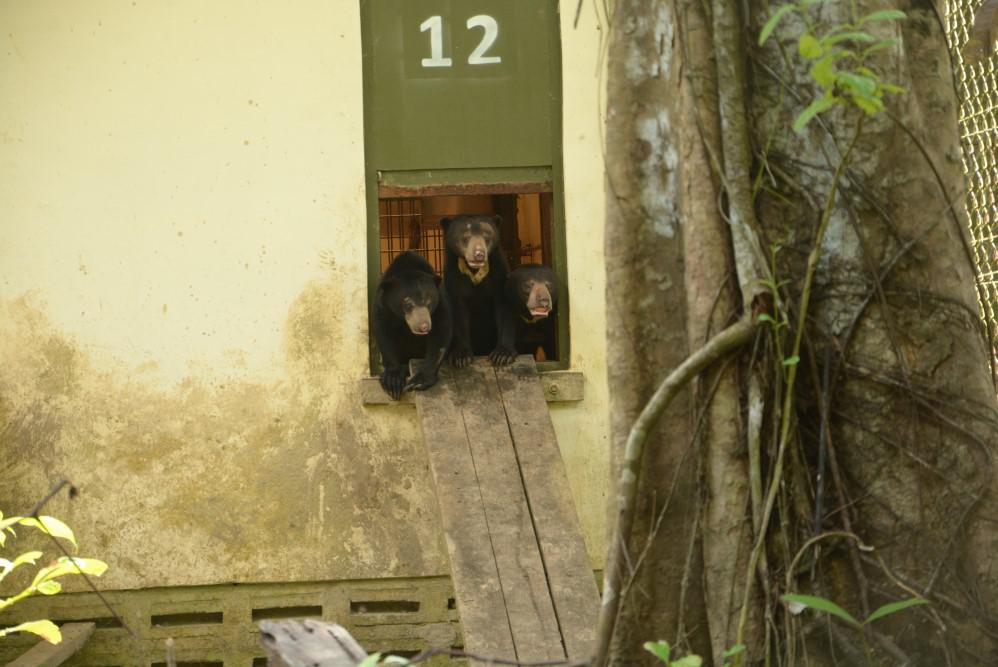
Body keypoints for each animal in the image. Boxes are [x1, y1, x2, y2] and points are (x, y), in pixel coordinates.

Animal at [372, 251, 453, 400]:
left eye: (429, 302)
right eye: (408, 303)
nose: (424, 326)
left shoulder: (441, 305)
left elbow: (441, 334)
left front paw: (418, 382)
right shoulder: (383, 307)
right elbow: (383, 334)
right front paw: (393, 381)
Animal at [440, 214, 511, 367]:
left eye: (486, 236)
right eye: (465, 237)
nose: (479, 254)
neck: (474, 271)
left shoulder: (499, 274)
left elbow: (503, 308)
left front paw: (502, 355)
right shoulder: (454, 278)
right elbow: (458, 312)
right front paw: (461, 357)